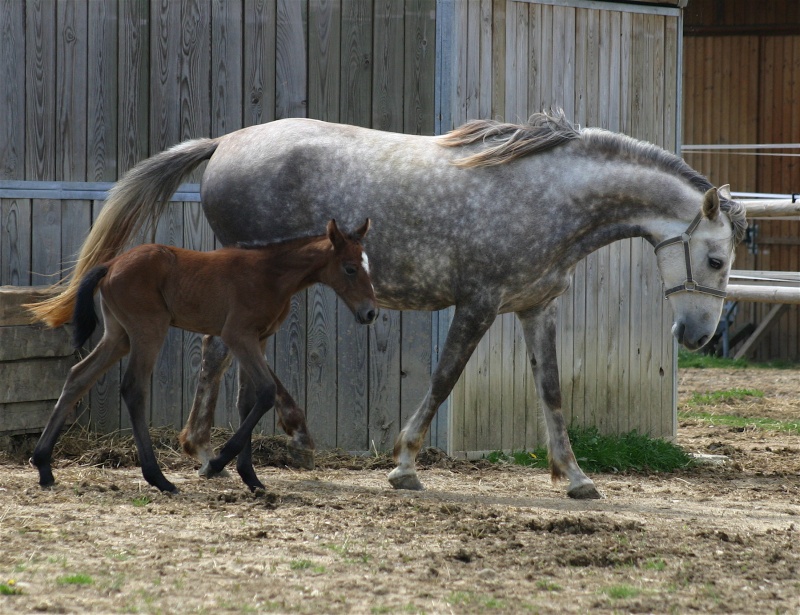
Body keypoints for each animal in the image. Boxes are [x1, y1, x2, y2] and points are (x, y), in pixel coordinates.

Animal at [29, 110, 744, 500]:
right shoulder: (478, 304)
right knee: (218, 354)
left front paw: (575, 478)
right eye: (716, 259)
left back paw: (209, 455)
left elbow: (552, 392)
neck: (549, 198)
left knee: (216, 355)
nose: (698, 337)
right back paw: (233, 447)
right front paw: (403, 466)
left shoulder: (535, 308)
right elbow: (445, 377)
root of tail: (226, 143)